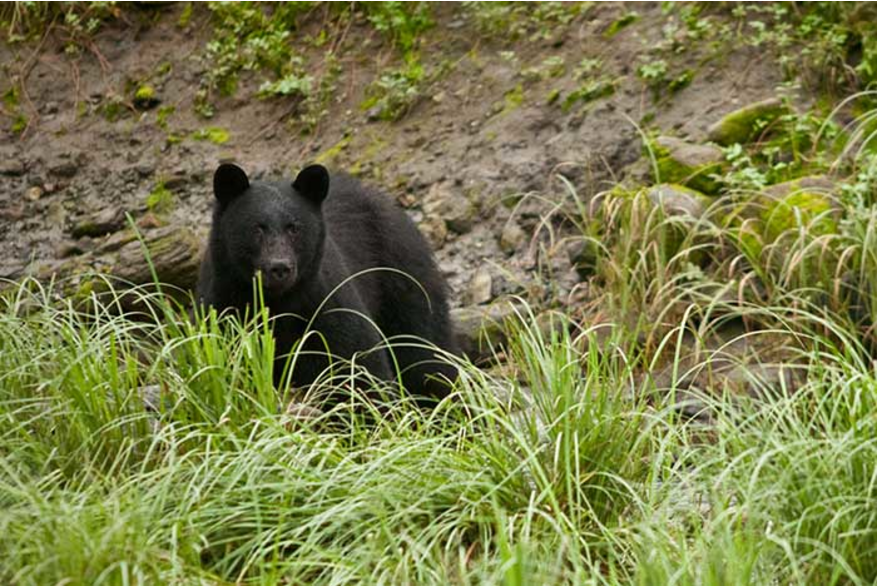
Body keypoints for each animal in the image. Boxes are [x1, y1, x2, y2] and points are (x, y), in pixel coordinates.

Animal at [197, 162, 459, 404]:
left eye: (294, 228)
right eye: (257, 228)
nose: (279, 267)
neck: (279, 302)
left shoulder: (325, 304)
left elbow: (360, 365)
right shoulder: (223, 305)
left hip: (404, 280)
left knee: (425, 352)